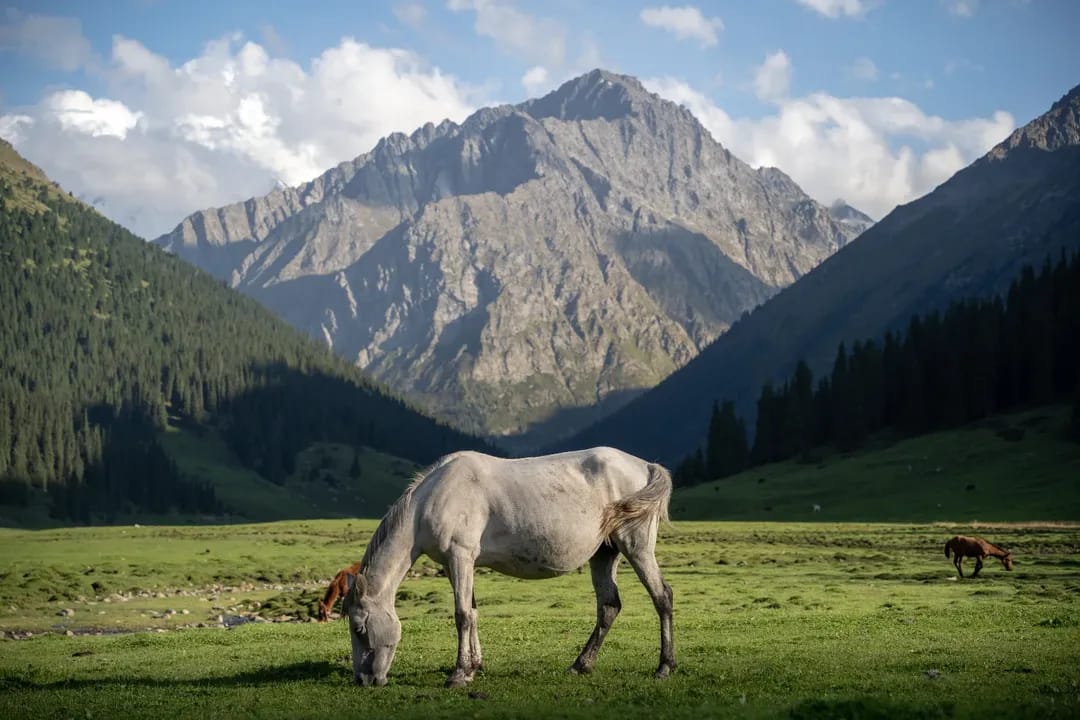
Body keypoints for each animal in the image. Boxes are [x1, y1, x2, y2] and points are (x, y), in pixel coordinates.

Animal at [341, 446, 676, 688]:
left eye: (359, 628)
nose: (364, 680)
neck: (431, 500)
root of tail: (646, 466)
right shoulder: (460, 565)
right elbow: (473, 613)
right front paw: (474, 666)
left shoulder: (460, 558)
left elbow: (462, 615)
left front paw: (459, 674)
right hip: (605, 554)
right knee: (608, 606)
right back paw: (581, 665)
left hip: (636, 546)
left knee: (662, 597)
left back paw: (664, 667)